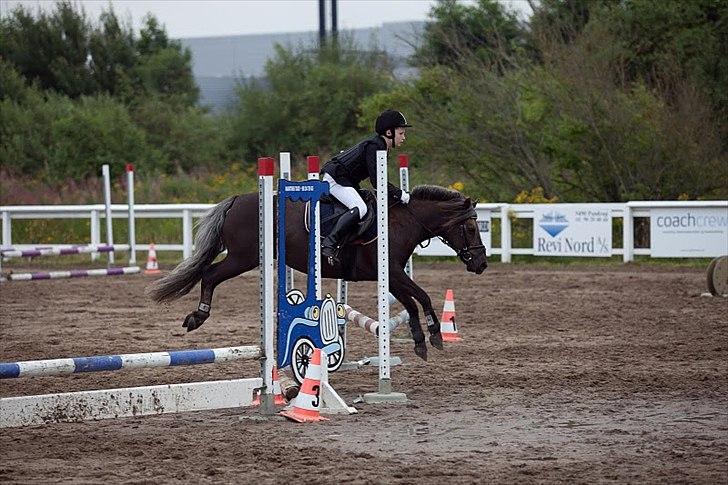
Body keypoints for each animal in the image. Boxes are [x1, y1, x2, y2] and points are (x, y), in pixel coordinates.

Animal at [147, 185, 488, 361]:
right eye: (471, 228)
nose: (481, 264)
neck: (401, 221)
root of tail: (236, 201)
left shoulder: (390, 276)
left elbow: (411, 304)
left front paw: (420, 340)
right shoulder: (391, 271)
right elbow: (422, 297)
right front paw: (435, 334)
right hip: (243, 258)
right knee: (209, 275)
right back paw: (197, 316)